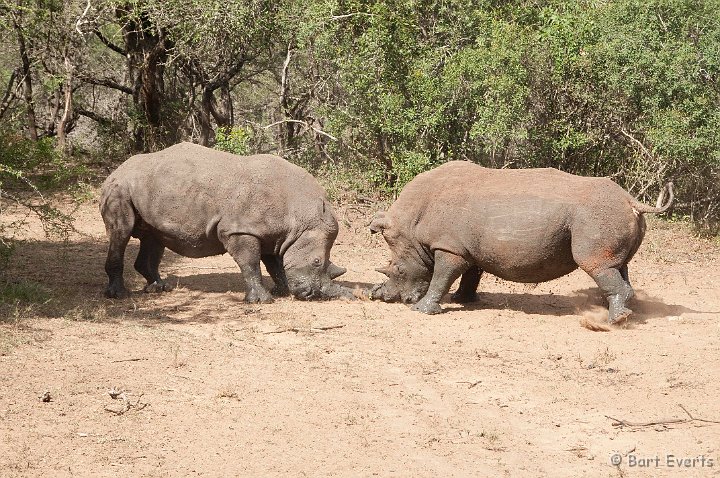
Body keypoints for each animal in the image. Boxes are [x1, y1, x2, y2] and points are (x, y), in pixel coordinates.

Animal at [101, 142, 354, 304]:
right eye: (316, 261)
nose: (311, 294)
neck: (299, 217)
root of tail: (116, 170)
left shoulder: (274, 235)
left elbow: (275, 264)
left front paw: (282, 291)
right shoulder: (240, 230)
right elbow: (251, 264)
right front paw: (262, 300)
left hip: (148, 190)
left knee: (153, 237)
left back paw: (159, 288)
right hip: (118, 189)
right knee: (121, 233)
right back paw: (120, 295)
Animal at [368, 162, 672, 324]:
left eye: (397, 269)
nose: (381, 297)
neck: (411, 225)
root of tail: (631, 201)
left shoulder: (449, 246)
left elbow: (440, 277)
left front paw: (421, 309)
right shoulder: (469, 247)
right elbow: (471, 274)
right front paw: (463, 300)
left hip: (595, 217)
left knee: (597, 264)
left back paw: (613, 321)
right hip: (609, 216)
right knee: (619, 266)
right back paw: (626, 313)